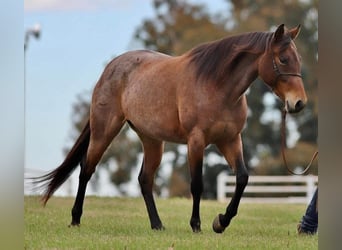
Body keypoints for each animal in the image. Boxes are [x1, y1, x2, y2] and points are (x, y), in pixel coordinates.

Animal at [35, 23, 308, 232]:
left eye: (299, 60)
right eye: (283, 59)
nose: (299, 103)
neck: (217, 85)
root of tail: (112, 67)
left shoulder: (231, 139)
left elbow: (242, 178)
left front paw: (221, 221)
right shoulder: (196, 141)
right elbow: (197, 184)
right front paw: (196, 224)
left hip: (152, 140)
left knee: (145, 179)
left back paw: (157, 225)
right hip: (105, 130)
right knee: (86, 169)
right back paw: (75, 219)